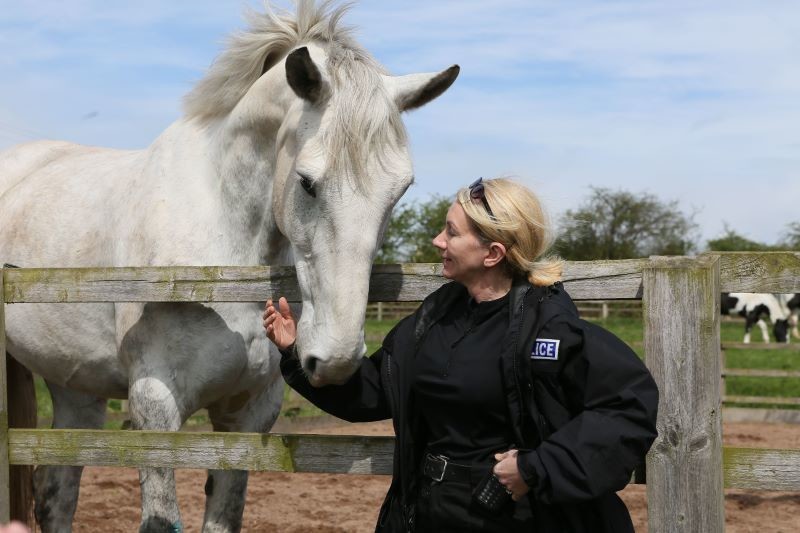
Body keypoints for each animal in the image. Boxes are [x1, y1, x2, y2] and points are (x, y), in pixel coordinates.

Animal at [0, 1, 459, 531]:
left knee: (57, 494)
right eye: (307, 182)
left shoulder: (249, 413)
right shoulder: (154, 407)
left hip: (75, 390)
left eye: (400, 190)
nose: (335, 359)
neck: (224, 264)